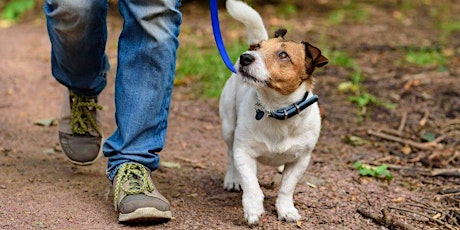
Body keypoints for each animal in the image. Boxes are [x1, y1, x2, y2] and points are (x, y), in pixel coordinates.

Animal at [218, 0, 328, 225]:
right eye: (258, 48)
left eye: (283, 55)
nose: (245, 57)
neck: (275, 109)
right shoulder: (243, 152)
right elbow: (251, 184)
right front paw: (253, 208)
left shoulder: (300, 160)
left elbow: (287, 188)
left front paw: (286, 209)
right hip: (228, 127)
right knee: (230, 155)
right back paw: (233, 178)